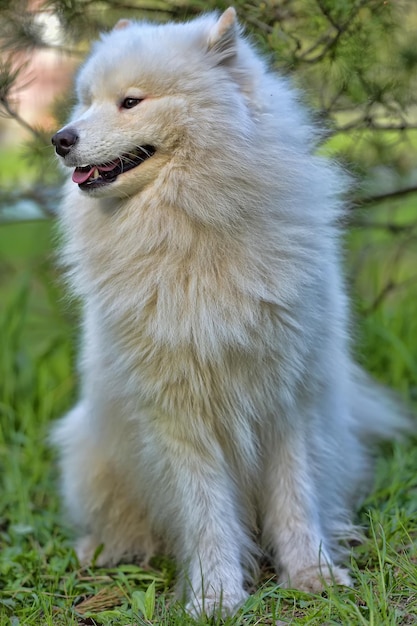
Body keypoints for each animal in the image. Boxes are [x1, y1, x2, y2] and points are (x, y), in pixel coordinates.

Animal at [51, 7, 410, 616]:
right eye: (85, 101)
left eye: (130, 102)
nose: (60, 139)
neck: (191, 229)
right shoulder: (180, 414)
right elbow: (206, 514)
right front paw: (215, 597)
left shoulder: (288, 398)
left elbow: (296, 498)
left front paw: (312, 575)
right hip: (92, 453)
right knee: (119, 520)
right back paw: (104, 549)